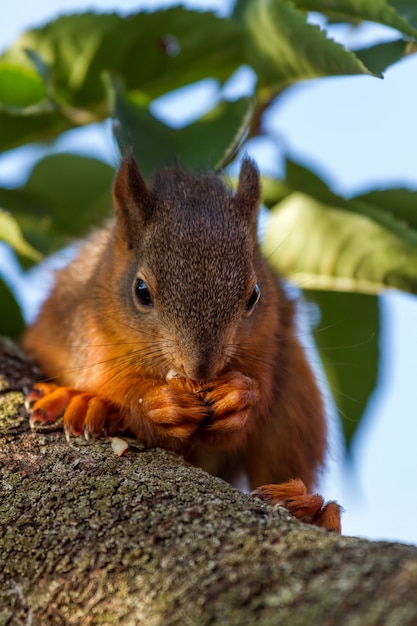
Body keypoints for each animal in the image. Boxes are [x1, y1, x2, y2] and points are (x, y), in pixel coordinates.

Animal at [23, 154, 342, 528]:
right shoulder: (80, 322)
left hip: (298, 404)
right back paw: (84, 403)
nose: (200, 369)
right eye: (141, 291)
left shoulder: (269, 333)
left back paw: (309, 507)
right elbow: (107, 378)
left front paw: (238, 396)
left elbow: (251, 406)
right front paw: (155, 403)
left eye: (254, 295)